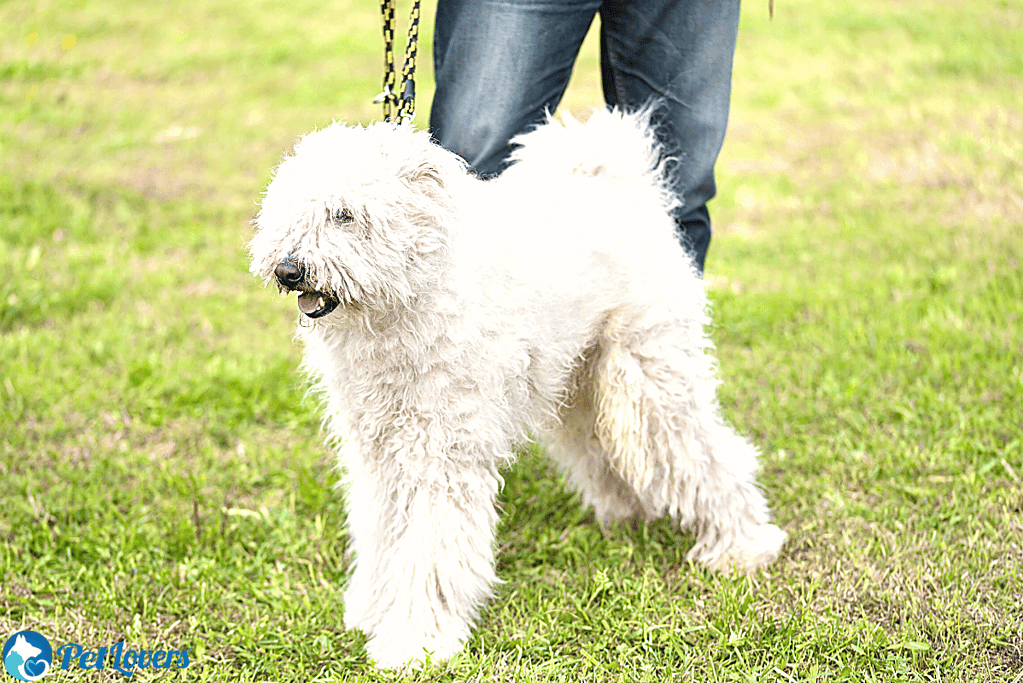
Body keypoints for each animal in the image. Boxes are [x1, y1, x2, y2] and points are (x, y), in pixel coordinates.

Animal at [245, 107, 781, 666]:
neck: (411, 299)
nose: (288, 269)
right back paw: (630, 516)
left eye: (344, 215)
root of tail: (615, 182)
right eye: (289, 210)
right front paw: (371, 609)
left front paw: (415, 642)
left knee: (707, 455)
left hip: (648, 381)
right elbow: (382, 536)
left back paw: (743, 546)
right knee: (610, 452)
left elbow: (428, 551)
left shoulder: (440, 455)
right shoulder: (378, 456)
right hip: (580, 389)